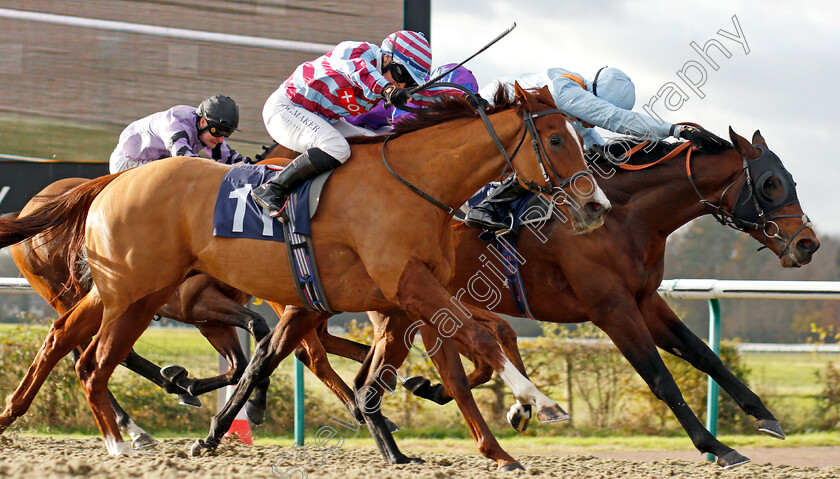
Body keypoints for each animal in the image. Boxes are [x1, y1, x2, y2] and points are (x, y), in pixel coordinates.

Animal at [0, 84, 608, 470]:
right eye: (557, 140)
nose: (595, 205)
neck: (413, 182)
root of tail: (109, 183)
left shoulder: (397, 297)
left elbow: (428, 366)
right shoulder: (407, 287)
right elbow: (476, 340)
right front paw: (536, 409)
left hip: (129, 294)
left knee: (69, 345)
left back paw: (33, 417)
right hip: (132, 293)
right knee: (92, 361)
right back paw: (122, 442)